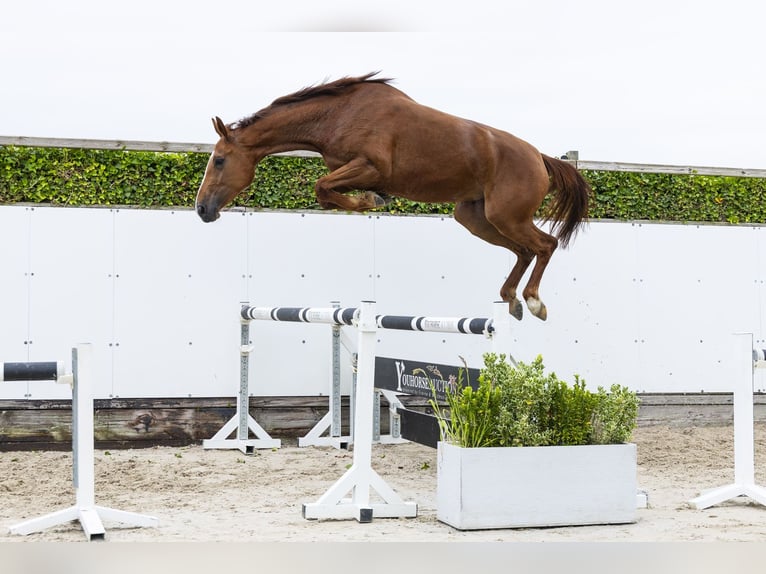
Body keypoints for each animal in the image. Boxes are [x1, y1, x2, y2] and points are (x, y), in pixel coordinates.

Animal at [195, 72, 592, 321]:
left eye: (219, 160)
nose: (202, 209)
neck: (337, 114)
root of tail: (540, 157)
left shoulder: (370, 167)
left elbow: (323, 188)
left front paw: (371, 202)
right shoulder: (351, 171)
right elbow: (326, 192)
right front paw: (373, 200)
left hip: (506, 216)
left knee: (545, 245)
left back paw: (534, 302)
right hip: (476, 218)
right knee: (524, 251)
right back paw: (511, 300)